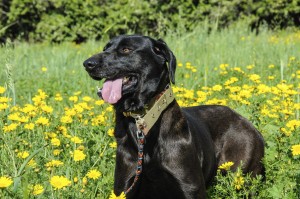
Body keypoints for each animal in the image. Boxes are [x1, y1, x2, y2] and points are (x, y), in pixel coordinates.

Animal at [83, 35, 264, 198]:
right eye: (105, 48)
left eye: (126, 50)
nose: (87, 64)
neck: (144, 120)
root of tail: (250, 125)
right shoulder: (124, 188)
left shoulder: (190, 189)